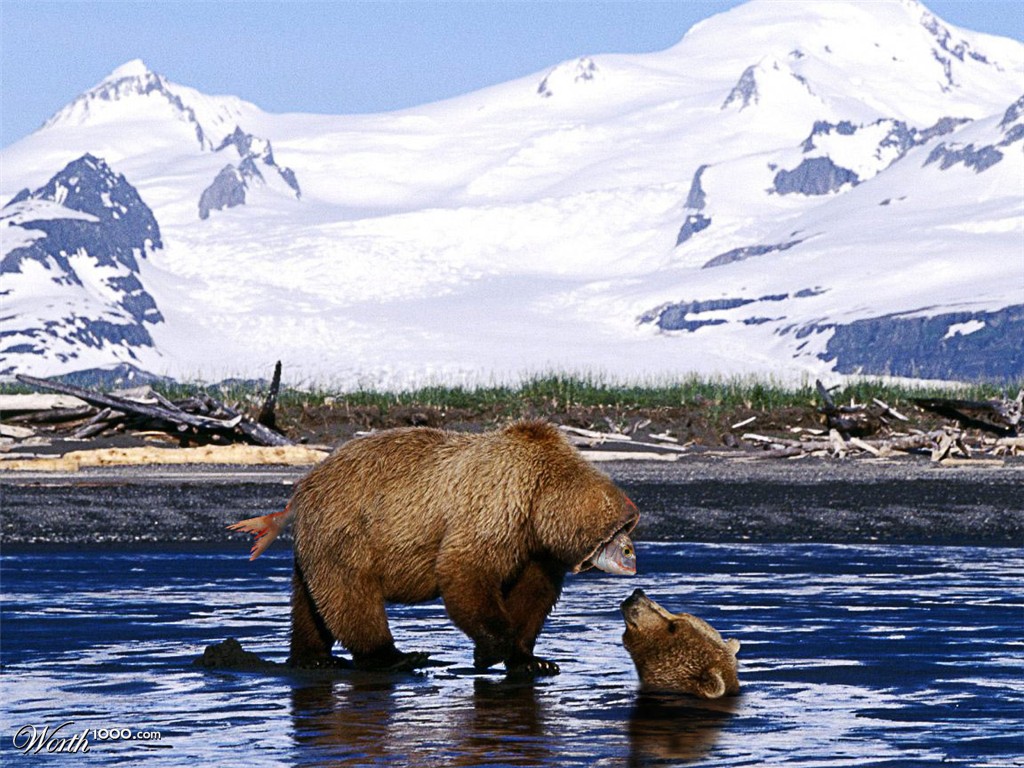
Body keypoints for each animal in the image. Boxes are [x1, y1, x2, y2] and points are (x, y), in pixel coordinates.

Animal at [230, 421, 639, 677]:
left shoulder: (536, 549)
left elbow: (532, 597)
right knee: (351, 594)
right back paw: (396, 656)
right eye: (623, 534)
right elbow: (465, 570)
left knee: (311, 603)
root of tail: (302, 487)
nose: (633, 556)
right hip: (349, 527)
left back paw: (313, 658)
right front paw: (490, 651)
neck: (540, 499)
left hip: (319, 541)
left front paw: (533, 660)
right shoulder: (496, 508)